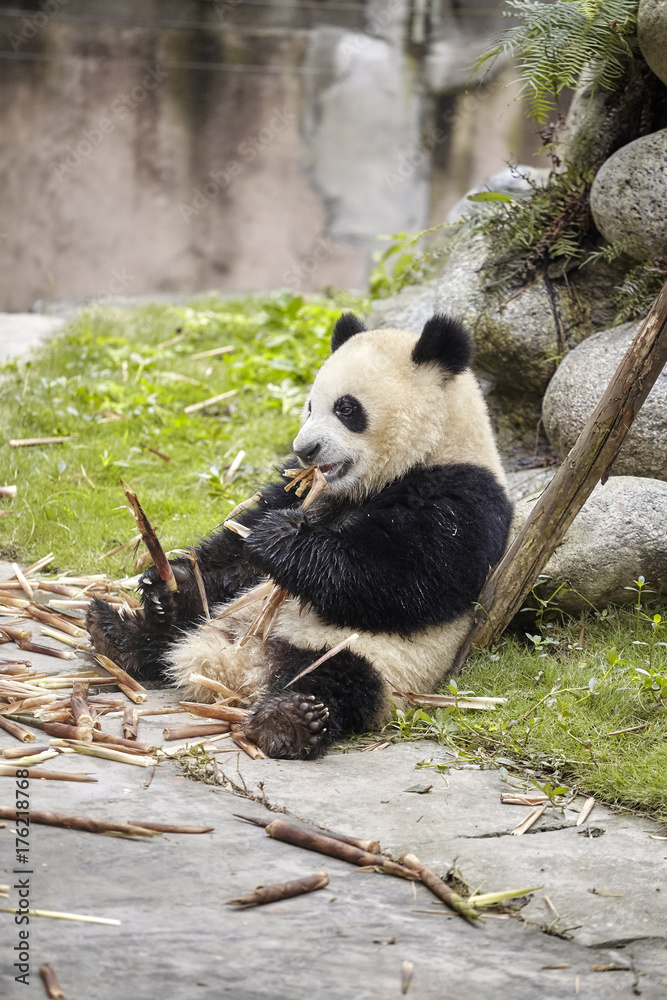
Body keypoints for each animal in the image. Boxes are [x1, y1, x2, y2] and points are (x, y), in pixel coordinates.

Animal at [87, 312, 512, 760]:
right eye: (310, 406)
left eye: (346, 408)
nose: (305, 449)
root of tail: (235, 669)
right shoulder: (298, 489)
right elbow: (238, 553)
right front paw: (171, 581)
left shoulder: (463, 497)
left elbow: (402, 580)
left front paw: (281, 538)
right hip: (220, 619)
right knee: (179, 625)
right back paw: (121, 630)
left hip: (377, 660)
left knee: (338, 679)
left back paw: (290, 719)